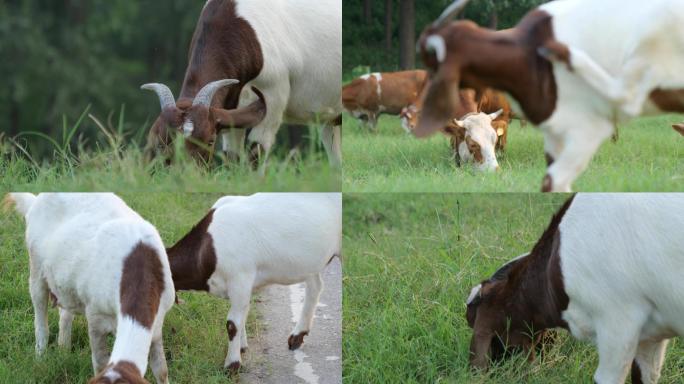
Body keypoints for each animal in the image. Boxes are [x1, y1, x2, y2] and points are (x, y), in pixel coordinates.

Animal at [141, 0, 342, 167]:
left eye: (210, 141)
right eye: (162, 143)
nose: (185, 174)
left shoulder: (272, 98)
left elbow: (256, 152)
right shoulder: (231, 108)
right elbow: (232, 157)